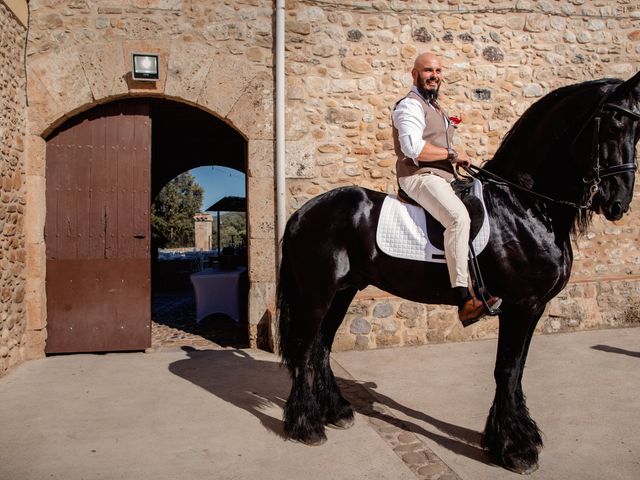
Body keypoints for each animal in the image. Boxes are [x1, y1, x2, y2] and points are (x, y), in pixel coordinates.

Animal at [276, 73, 640, 474]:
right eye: (611, 126)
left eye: (637, 131)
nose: (618, 204)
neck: (525, 205)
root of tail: (303, 213)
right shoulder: (522, 304)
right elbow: (507, 370)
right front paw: (515, 447)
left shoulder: (535, 307)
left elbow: (517, 370)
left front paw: (515, 437)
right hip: (317, 293)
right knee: (305, 348)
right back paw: (306, 426)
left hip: (344, 291)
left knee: (321, 347)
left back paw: (336, 412)